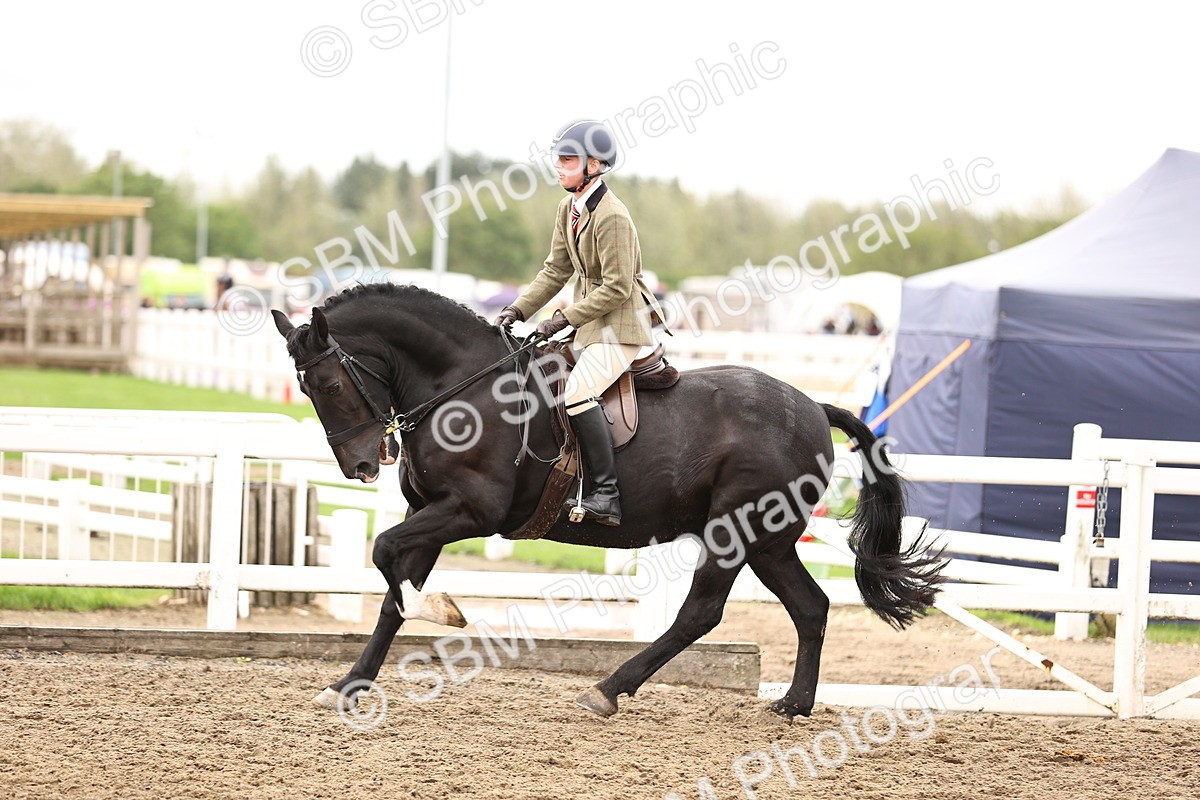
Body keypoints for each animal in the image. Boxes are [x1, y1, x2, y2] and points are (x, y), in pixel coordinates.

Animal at [271, 282, 943, 720]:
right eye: (307, 388)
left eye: (329, 383)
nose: (361, 466)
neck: (461, 388)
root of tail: (812, 407)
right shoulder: (427, 511)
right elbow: (391, 592)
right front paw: (351, 683)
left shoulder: (469, 512)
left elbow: (385, 554)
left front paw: (444, 611)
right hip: (768, 542)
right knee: (810, 607)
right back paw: (794, 705)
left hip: (739, 530)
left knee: (702, 613)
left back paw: (609, 690)